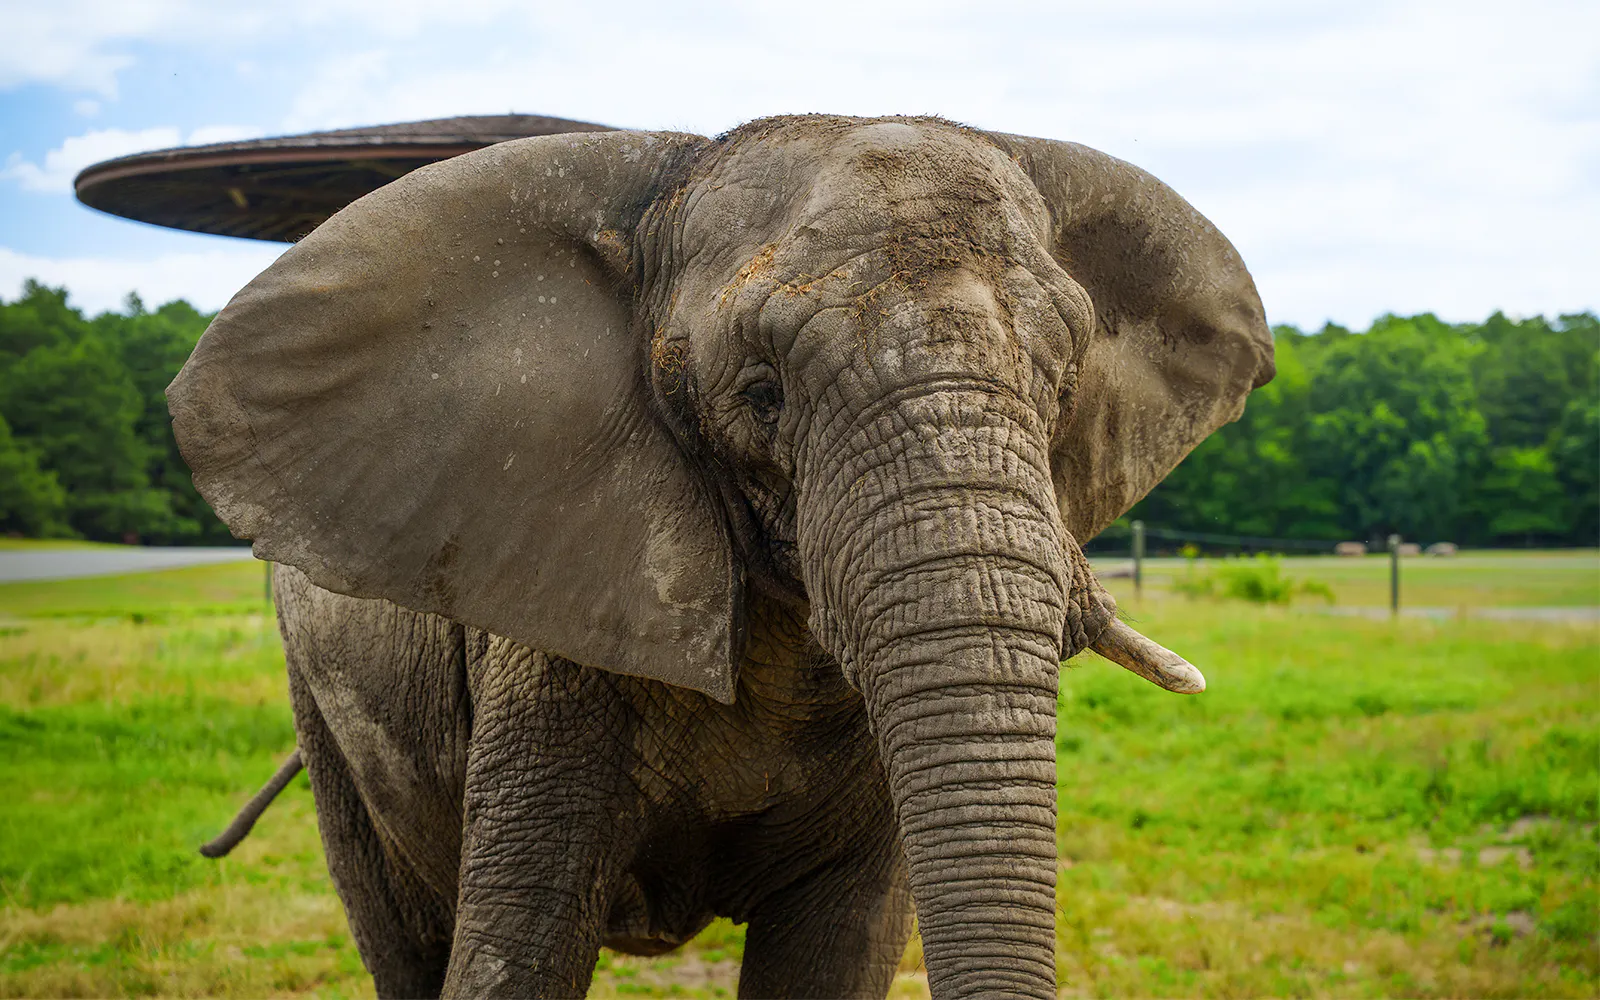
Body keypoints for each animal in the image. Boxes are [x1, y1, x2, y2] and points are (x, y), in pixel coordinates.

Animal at [170, 114, 1274, 999]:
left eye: (1063, 385)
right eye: (761, 394)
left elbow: (835, 956)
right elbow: (512, 953)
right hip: (324, 699)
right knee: (398, 931)